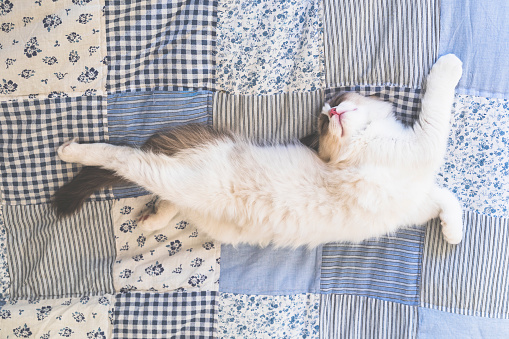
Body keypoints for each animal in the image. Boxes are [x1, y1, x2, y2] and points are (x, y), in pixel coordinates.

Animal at [53, 54, 462, 248]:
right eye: (325, 122)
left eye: (332, 108)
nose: (332, 112)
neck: (365, 140)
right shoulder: (424, 142)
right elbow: (438, 102)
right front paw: (451, 65)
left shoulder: (419, 197)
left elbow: (449, 199)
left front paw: (452, 233)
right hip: (171, 176)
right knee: (122, 158)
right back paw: (71, 151)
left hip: (186, 192)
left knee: (166, 198)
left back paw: (150, 220)